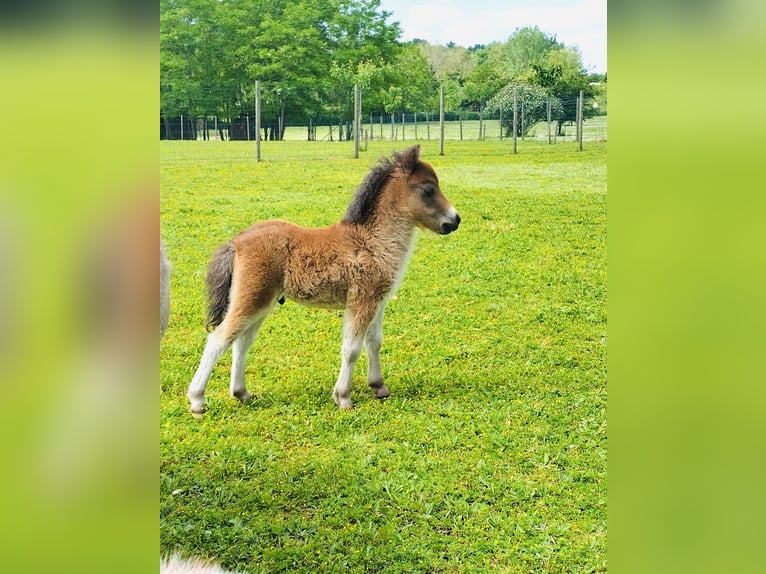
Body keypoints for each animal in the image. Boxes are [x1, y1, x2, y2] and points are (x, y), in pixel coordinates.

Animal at [186, 143, 462, 414]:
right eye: (428, 189)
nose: (455, 220)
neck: (372, 241)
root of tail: (237, 242)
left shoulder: (378, 301)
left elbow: (373, 342)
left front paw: (379, 387)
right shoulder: (361, 300)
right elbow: (352, 348)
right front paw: (343, 397)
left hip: (261, 302)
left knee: (241, 342)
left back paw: (241, 393)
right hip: (253, 298)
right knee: (218, 340)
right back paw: (198, 400)